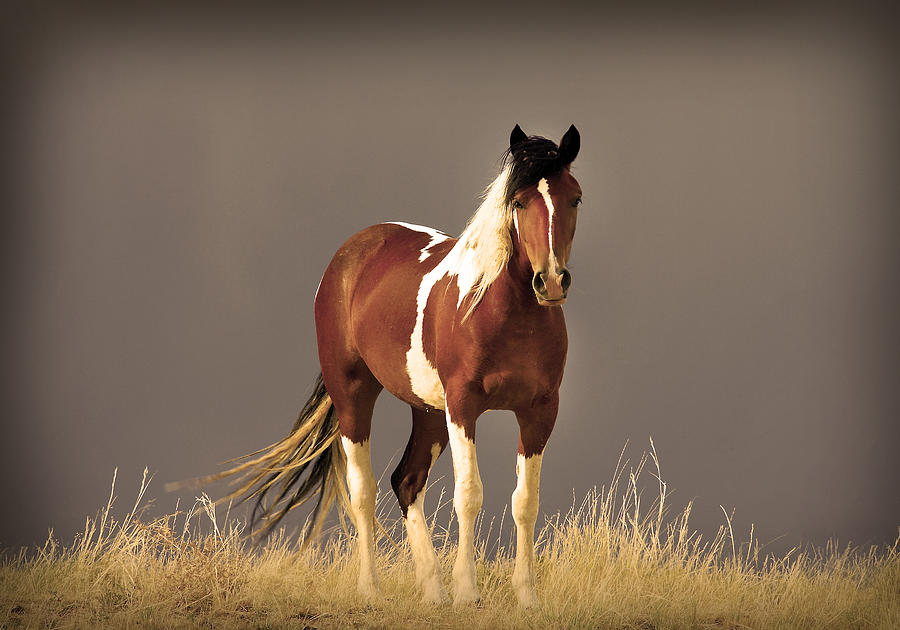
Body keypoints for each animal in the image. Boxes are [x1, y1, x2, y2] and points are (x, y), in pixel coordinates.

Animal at [206, 123, 584, 608]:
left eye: (575, 198)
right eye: (518, 201)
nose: (551, 281)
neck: (499, 310)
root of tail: (352, 252)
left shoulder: (538, 412)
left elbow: (525, 501)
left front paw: (527, 597)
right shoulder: (464, 408)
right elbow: (469, 494)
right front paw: (467, 592)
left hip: (428, 412)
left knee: (406, 481)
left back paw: (433, 591)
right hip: (354, 396)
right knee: (363, 490)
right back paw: (372, 589)